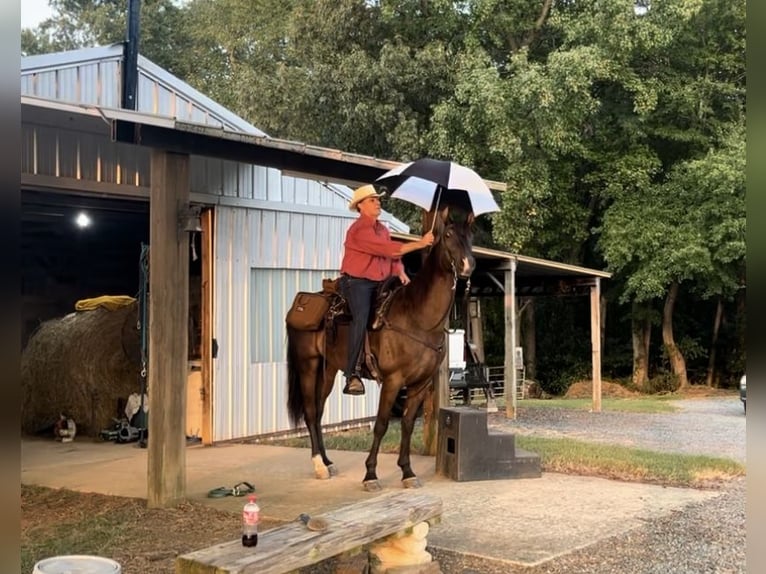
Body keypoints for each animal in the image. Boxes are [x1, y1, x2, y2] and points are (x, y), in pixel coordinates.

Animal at [284, 207, 474, 490]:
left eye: (470, 235)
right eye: (449, 234)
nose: (467, 265)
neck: (417, 317)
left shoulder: (420, 385)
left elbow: (407, 424)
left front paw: (407, 472)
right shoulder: (393, 381)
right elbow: (382, 424)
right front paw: (370, 474)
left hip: (328, 371)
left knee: (318, 412)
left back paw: (328, 462)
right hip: (308, 365)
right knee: (309, 412)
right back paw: (319, 466)